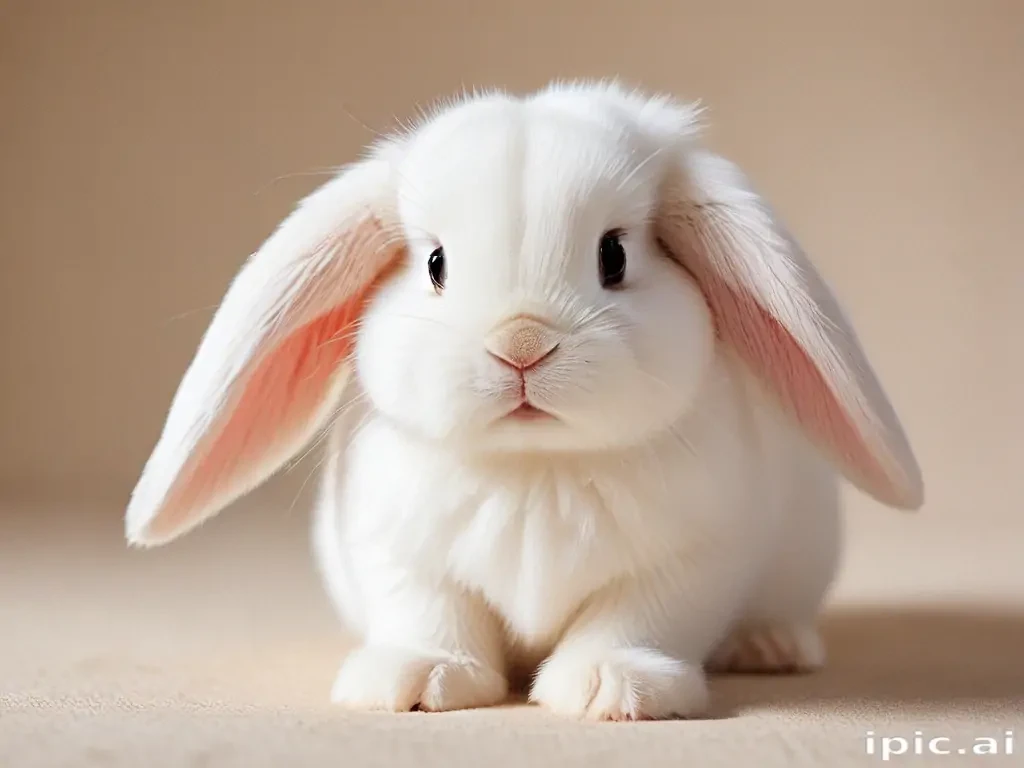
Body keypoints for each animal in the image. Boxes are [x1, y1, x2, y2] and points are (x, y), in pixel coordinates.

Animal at [124, 80, 924, 721]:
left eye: (614, 255)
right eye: (435, 263)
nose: (521, 344)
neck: (535, 467)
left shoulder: (692, 563)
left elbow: (637, 620)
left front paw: (612, 689)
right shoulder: (396, 551)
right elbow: (428, 610)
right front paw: (416, 681)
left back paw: (770, 647)